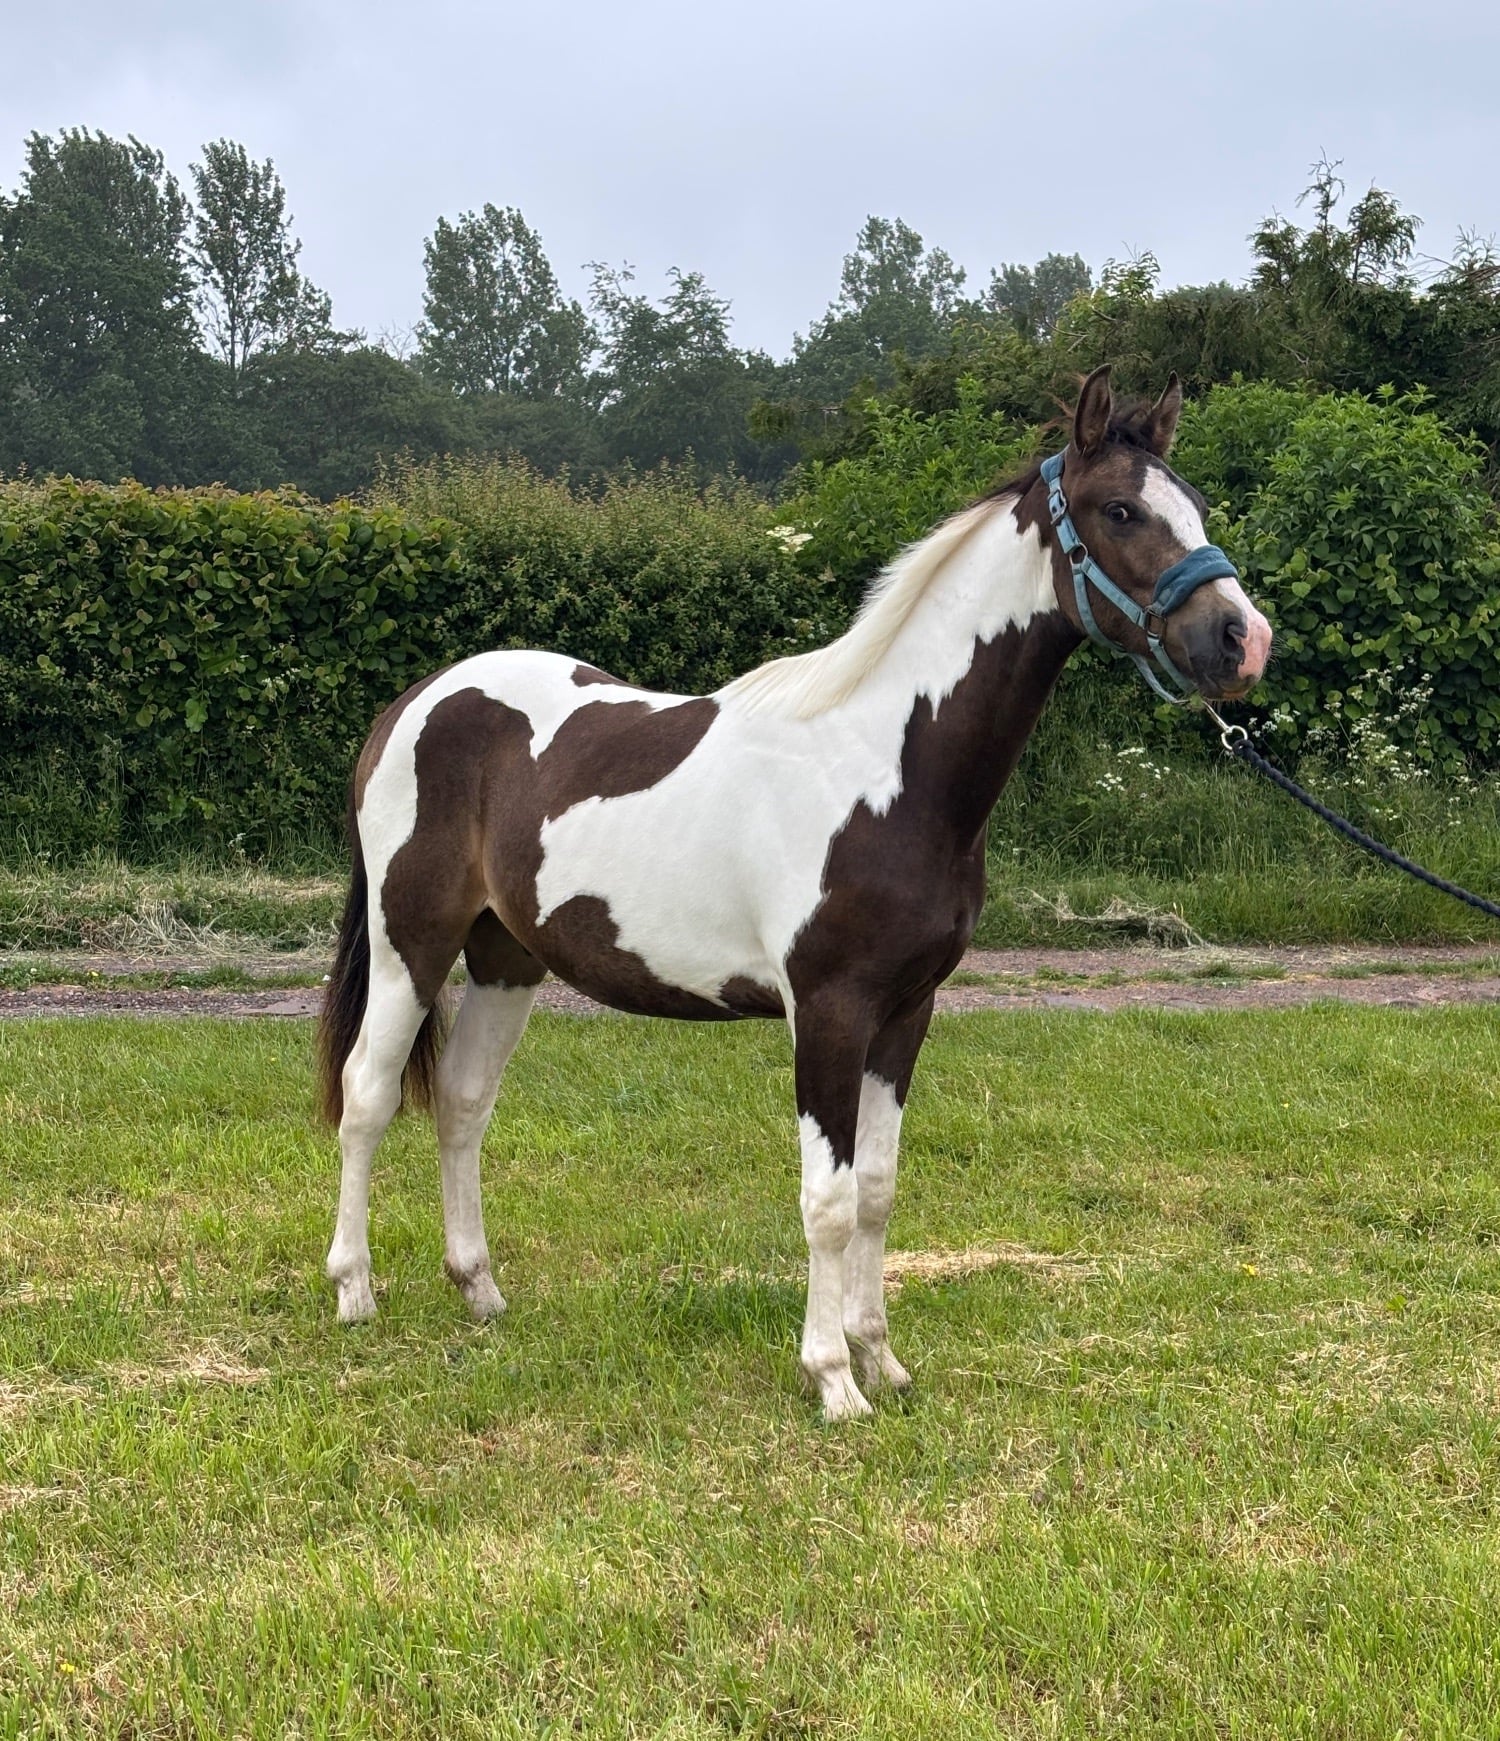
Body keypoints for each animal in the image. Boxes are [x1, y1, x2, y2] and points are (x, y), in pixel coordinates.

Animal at [316, 365, 1272, 1421]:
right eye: (1121, 511)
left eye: (1196, 505)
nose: (1243, 639)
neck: (887, 763)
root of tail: (414, 702)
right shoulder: (829, 1009)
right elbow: (829, 1199)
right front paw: (833, 1380)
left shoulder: (907, 1011)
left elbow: (880, 1189)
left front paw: (882, 1359)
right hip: (412, 942)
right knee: (367, 1094)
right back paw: (354, 1290)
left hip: (504, 957)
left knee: (461, 1100)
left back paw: (479, 1288)